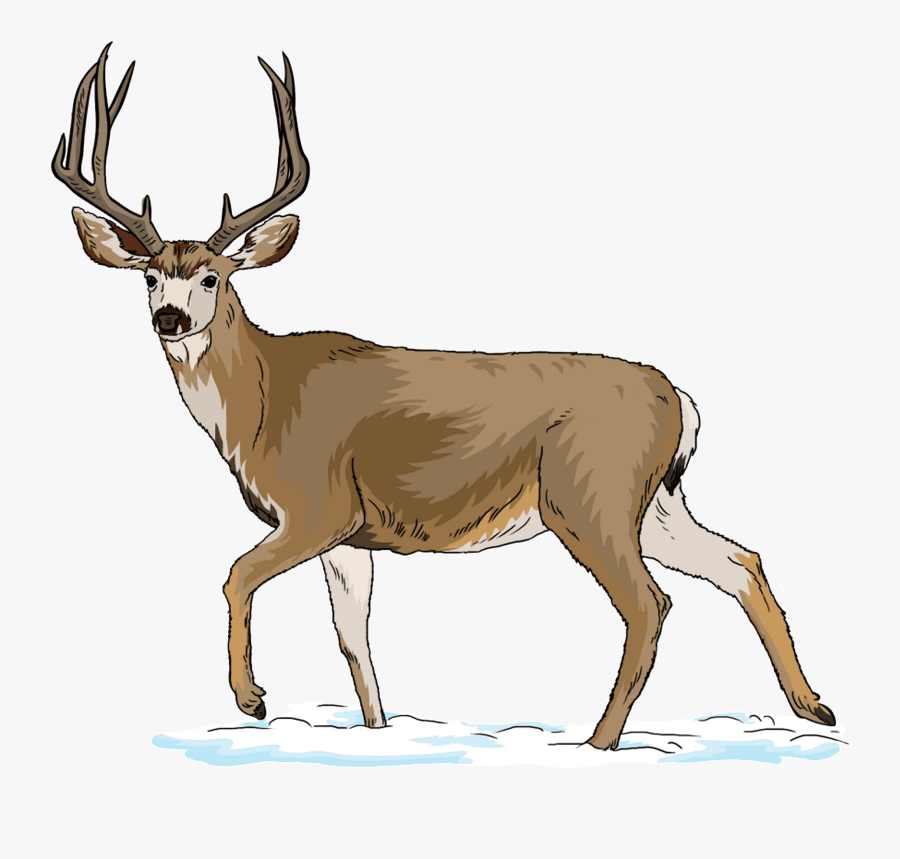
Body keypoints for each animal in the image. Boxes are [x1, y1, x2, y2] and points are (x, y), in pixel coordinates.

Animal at [52, 44, 834, 750]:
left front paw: (252, 699)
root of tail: (678, 396)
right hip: (657, 500)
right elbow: (354, 638)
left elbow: (236, 574)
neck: (264, 399)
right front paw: (377, 732)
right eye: (149, 275)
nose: (169, 318)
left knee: (651, 603)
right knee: (741, 562)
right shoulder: (350, 534)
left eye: (212, 276)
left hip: (588, 494)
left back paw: (597, 742)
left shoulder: (317, 503)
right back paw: (814, 706)